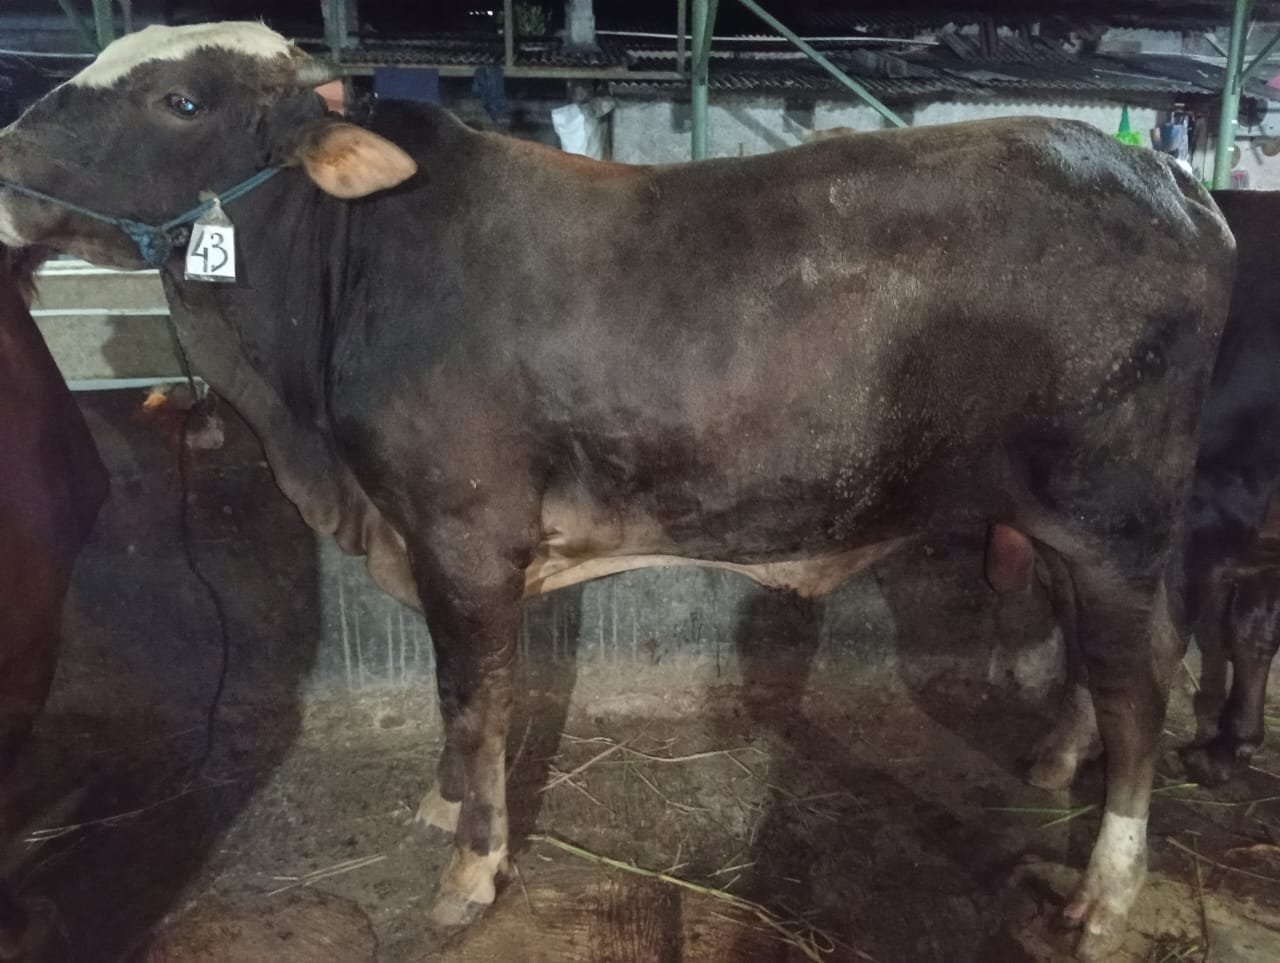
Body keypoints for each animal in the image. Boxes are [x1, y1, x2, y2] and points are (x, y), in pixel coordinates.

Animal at [0, 23, 1235, 959]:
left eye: (179, 99)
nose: (1, 160)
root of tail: (1172, 181)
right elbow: (459, 699)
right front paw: (441, 803)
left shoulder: (465, 534)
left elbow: (476, 694)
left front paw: (470, 866)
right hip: (1080, 529)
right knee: (1123, 657)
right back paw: (1056, 761)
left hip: (1108, 515)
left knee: (1139, 687)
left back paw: (1103, 893)